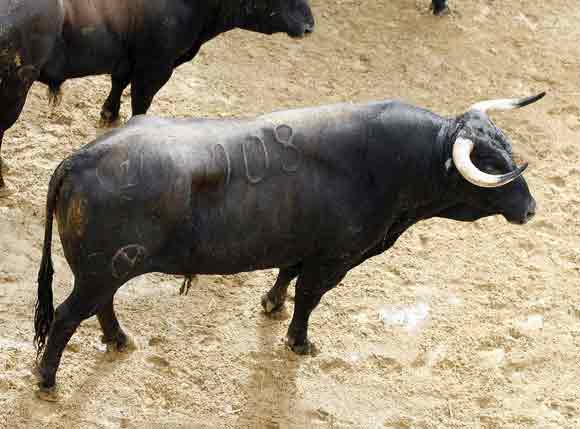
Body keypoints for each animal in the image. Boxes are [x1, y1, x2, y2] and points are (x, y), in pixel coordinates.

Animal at [0, 0, 314, 196]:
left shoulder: (129, 60)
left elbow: (119, 83)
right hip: (15, 86)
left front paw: (109, 114)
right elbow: (141, 102)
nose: (310, 26)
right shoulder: (156, 66)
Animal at [32, 90, 544, 398]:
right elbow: (309, 297)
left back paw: (118, 340)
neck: (401, 163)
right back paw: (47, 379)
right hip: (100, 272)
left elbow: (286, 275)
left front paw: (271, 305)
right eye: (490, 163)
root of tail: (81, 158)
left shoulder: (303, 247)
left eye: (507, 150)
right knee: (66, 317)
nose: (531, 208)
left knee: (99, 307)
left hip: (106, 271)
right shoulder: (334, 258)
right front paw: (299, 341)